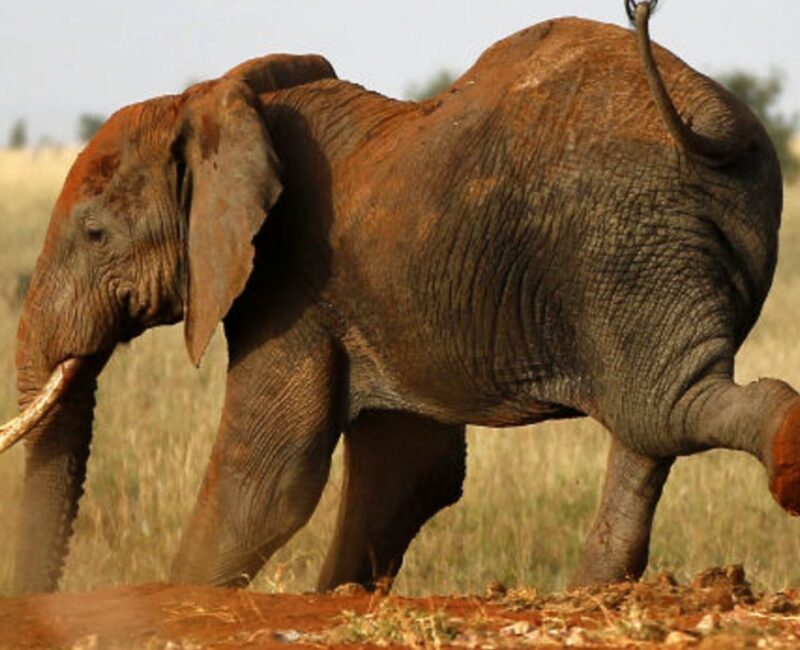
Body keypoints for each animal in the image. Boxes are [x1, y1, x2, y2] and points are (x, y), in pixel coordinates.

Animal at [1, 1, 800, 592]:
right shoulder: (368, 297)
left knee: (660, 408)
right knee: (650, 427)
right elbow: (409, 470)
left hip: (625, 243)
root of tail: (717, 124)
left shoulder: (292, 277)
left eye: (95, 233)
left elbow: (264, 483)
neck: (215, 103)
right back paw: (593, 593)